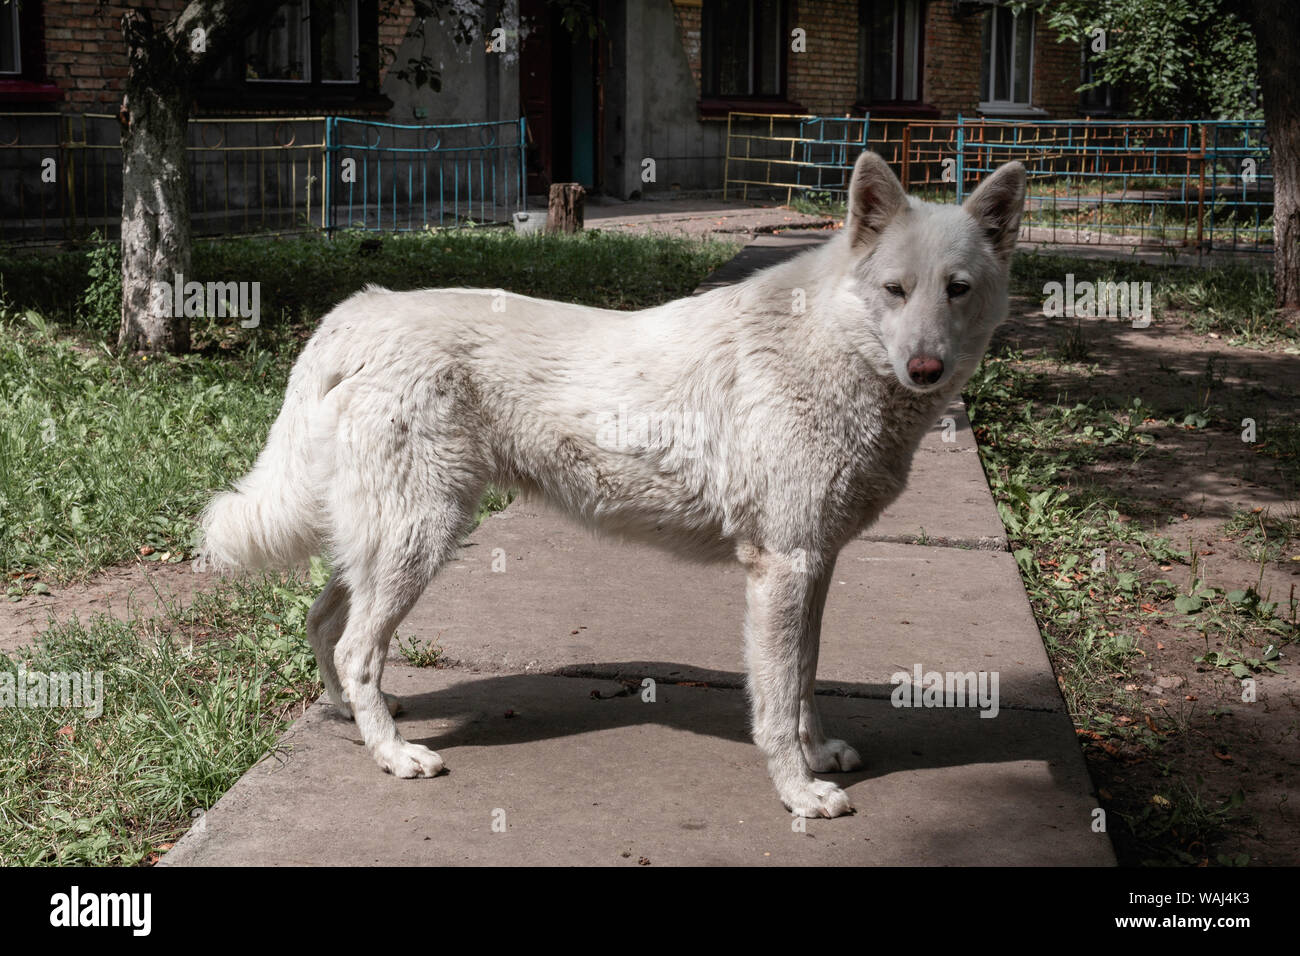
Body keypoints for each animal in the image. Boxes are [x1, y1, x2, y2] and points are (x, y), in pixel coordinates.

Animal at [200, 153, 1024, 816]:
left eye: (957, 289)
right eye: (894, 289)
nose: (926, 370)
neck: (829, 341)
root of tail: (361, 310)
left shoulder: (813, 566)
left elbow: (805, 679)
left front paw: (816, 755)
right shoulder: (782, 569)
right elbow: (776, 695)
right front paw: (798, 791)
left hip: (383, 541)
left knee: (323, 624)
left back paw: (352, 717)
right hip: (419, 538)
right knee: (354, 648)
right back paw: (394, 754)